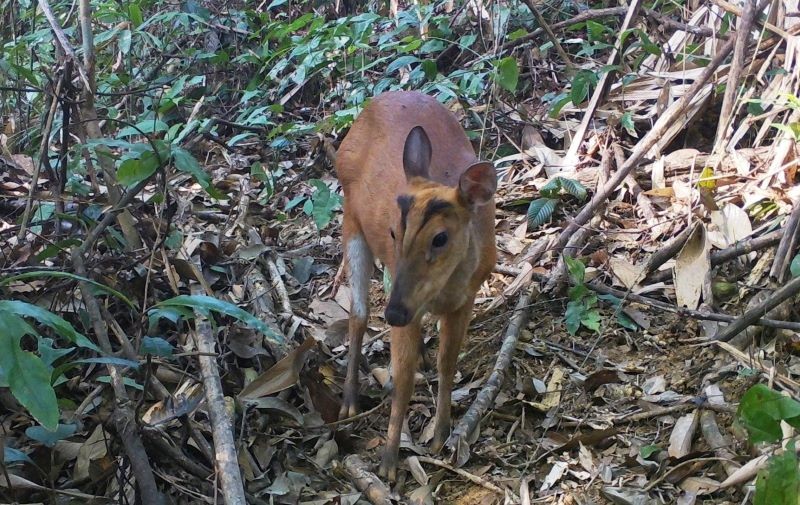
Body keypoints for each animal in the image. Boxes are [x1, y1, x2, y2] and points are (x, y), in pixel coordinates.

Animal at [334, 90, 496, 480]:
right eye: (393, 231)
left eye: (440, 238)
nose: (393, 313)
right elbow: (403, 379)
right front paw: (389, 462)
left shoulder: (465, 298)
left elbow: (448, 364)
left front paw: (441, 435)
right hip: (350, 220)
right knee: (358, 314)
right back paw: (349, 403)